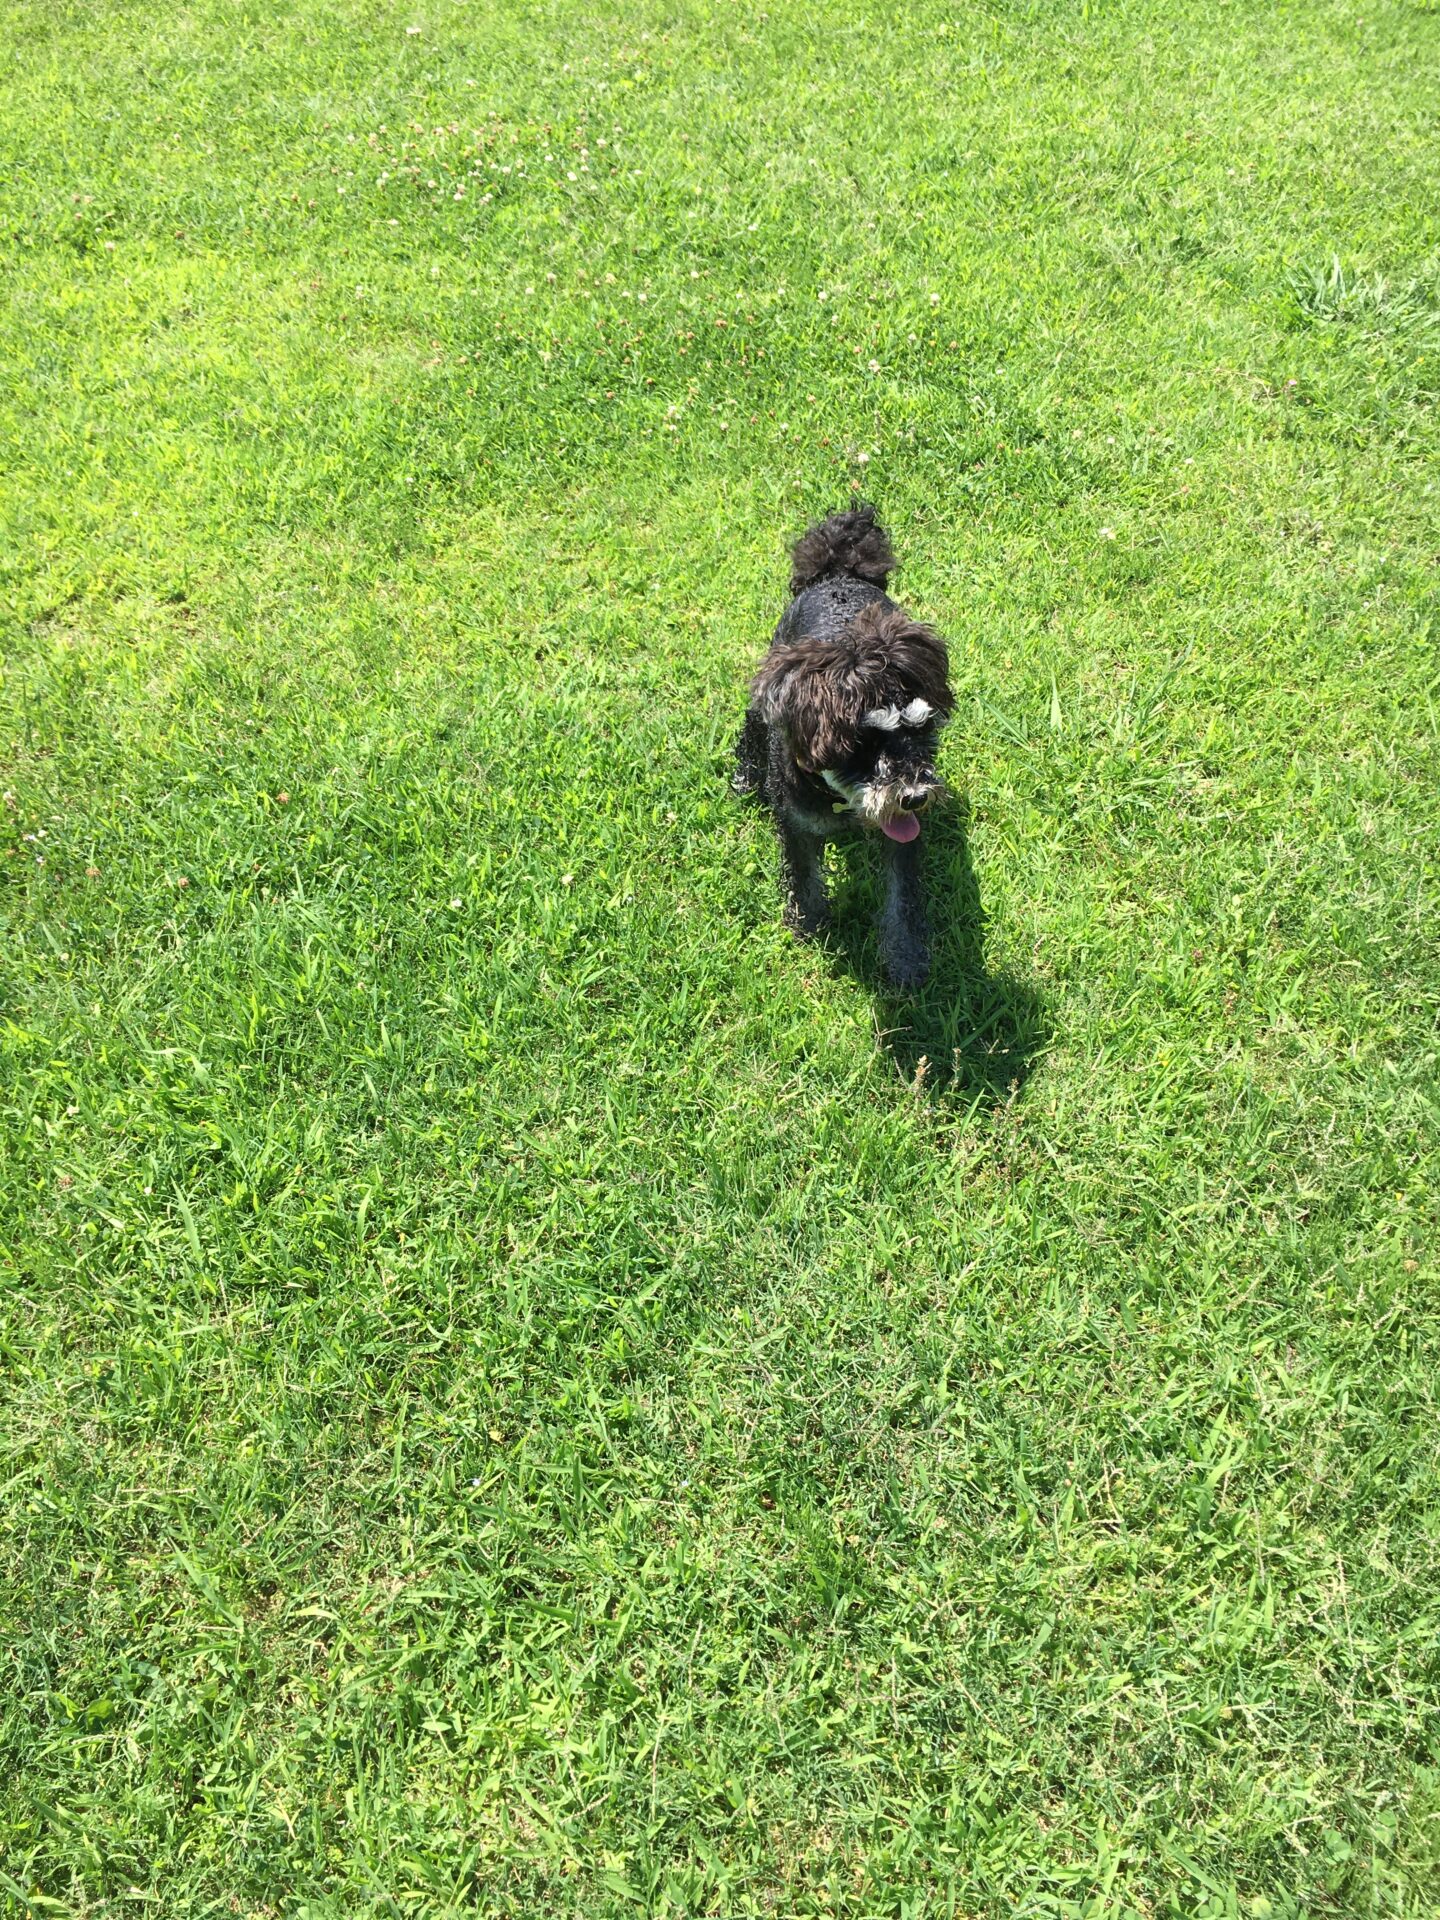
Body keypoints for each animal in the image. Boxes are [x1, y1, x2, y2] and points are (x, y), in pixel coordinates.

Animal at [733, 505, 953, 990]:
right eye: (863, 743)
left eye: (921, 729)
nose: (915, 797)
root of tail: (838, 572)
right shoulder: (795, 825)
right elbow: (804, 877)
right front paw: (808, 924)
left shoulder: (902, 838)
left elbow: (902, 898)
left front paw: (907, 960)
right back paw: (743, 778)